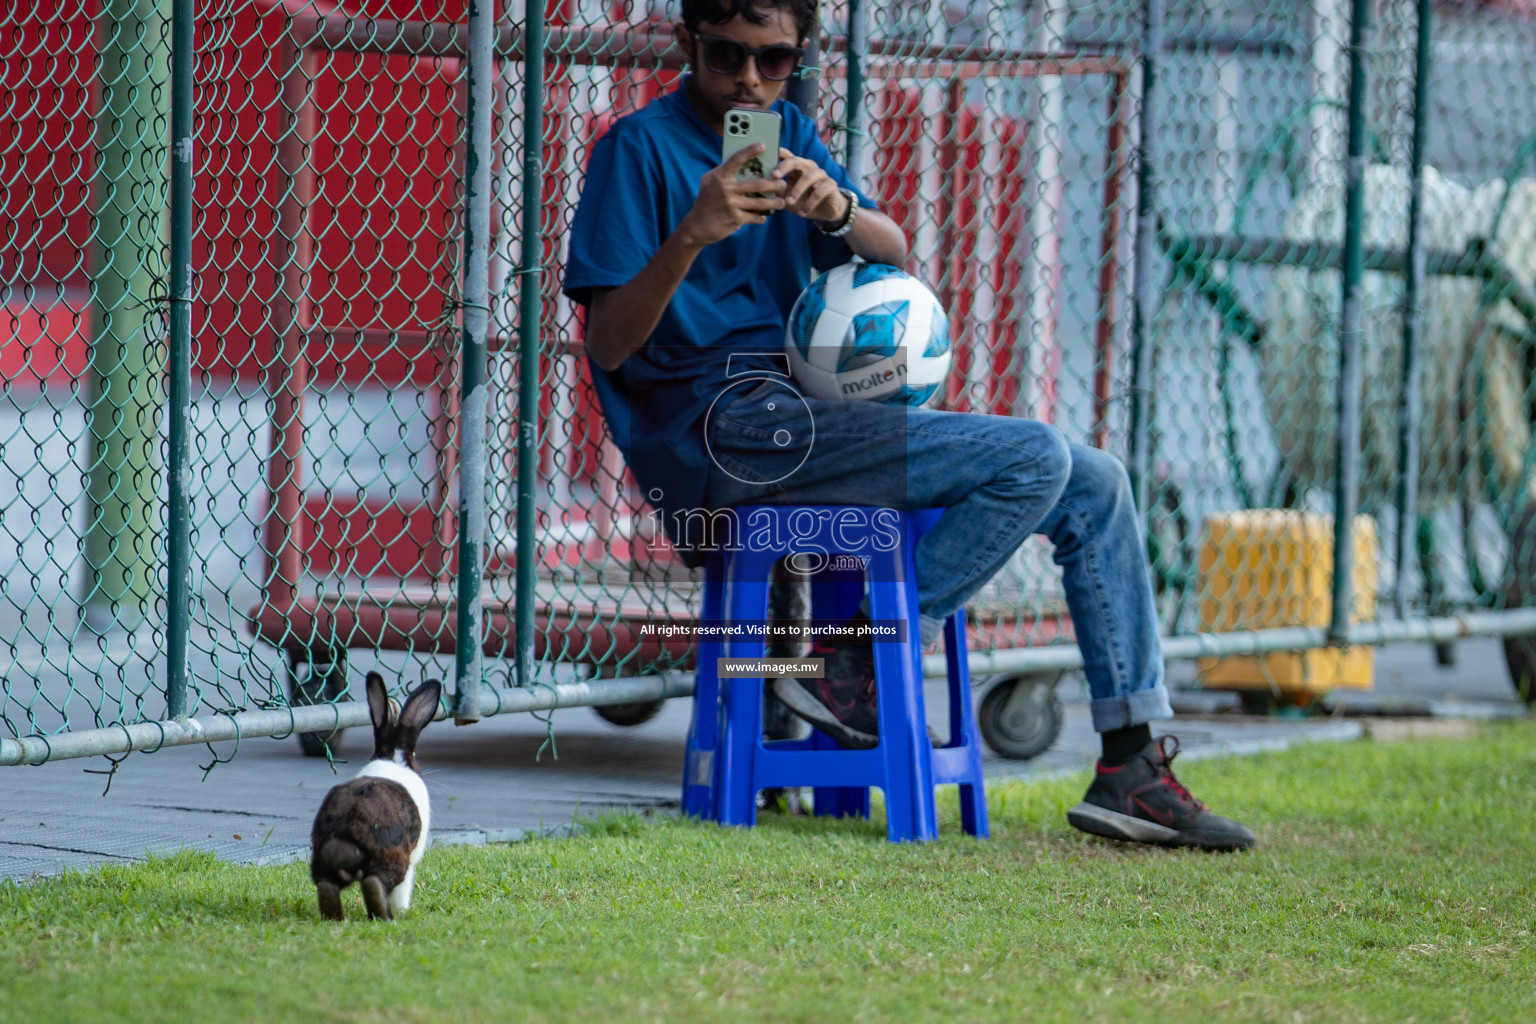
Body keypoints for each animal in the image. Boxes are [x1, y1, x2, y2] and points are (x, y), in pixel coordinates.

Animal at [305, 672, 439, 921]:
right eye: (415, 754)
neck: (393, 758)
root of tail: (345, 831)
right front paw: (404, 910)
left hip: (322, 860)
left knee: (327, 886)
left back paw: (337, 919)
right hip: (393, 859)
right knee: (375, 883)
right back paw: (387, 917)